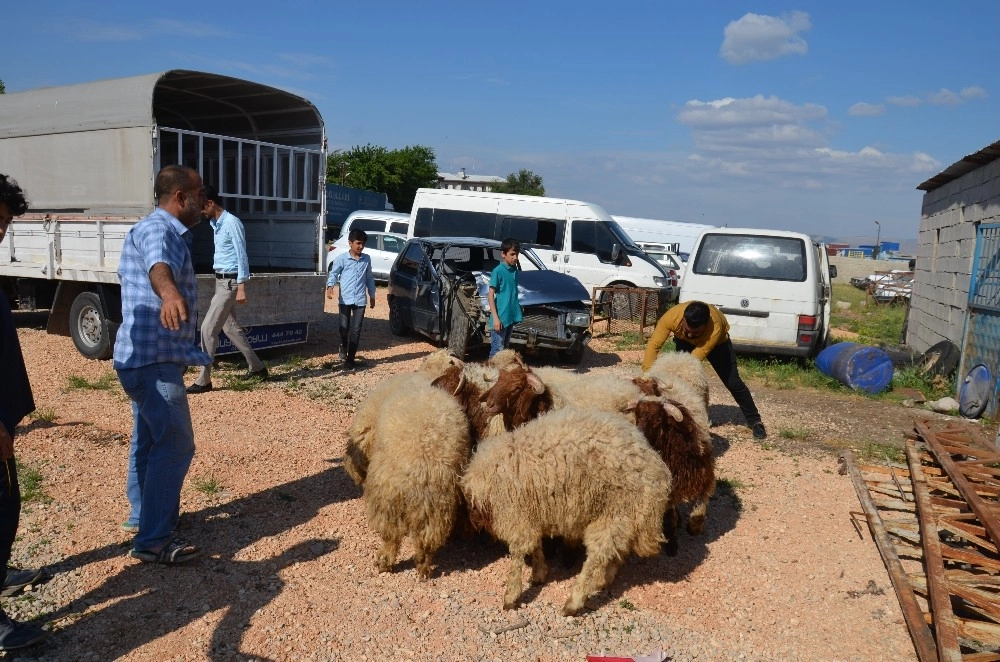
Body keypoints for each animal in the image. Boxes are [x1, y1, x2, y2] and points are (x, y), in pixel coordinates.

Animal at [460, 408, 672, 620]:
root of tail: (656, 470)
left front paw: (511, 595)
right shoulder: (532, 511)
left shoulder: (516, 514)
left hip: (615, 512)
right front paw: (539, 573)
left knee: (598, 554)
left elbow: (519, 553)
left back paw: (574, 601)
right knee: (616, 550)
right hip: (623, 517)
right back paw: (602, 579)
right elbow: (536, 544)